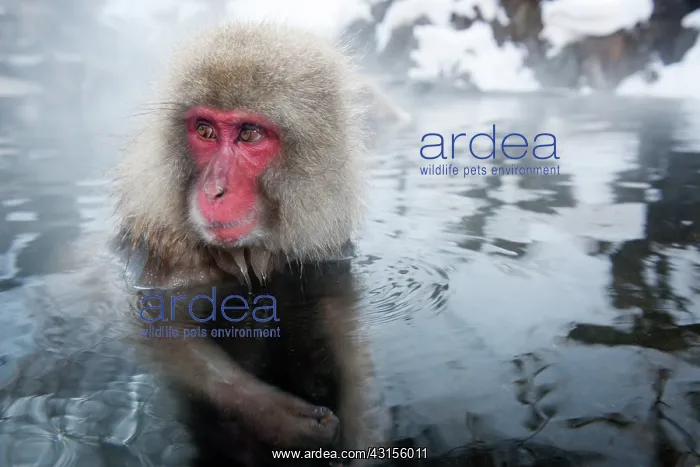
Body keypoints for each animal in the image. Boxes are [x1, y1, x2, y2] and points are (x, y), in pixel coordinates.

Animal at [110, 21, 386, 464]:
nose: (214, 190)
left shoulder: (326, 248)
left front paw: (363, 430)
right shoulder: (171, 257)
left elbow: (339, 312)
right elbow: (160, 323)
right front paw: (279, 415)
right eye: (205, 130)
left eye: (249, 134)